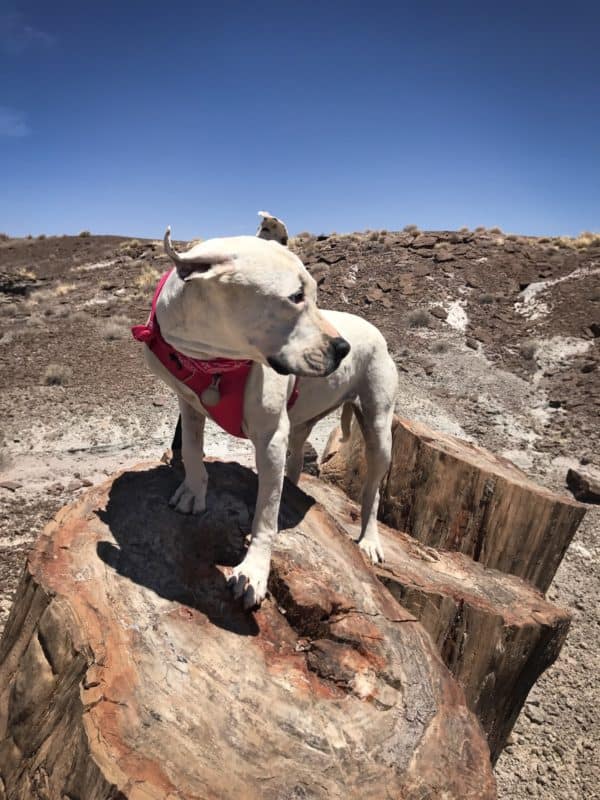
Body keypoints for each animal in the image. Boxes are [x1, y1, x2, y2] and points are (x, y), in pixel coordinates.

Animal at [136, 214, 398, 608]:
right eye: (295, 297)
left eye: (315, 294)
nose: (343, 348)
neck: (213, 359)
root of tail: (374, 330)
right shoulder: (189, 403)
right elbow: (194, 450)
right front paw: (193, 491)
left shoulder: (271, 437)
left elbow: (266, 515)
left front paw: (253, 572)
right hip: (303, 422)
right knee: (296, 460)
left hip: (379, 427)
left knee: (373, 489)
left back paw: (369, 539)